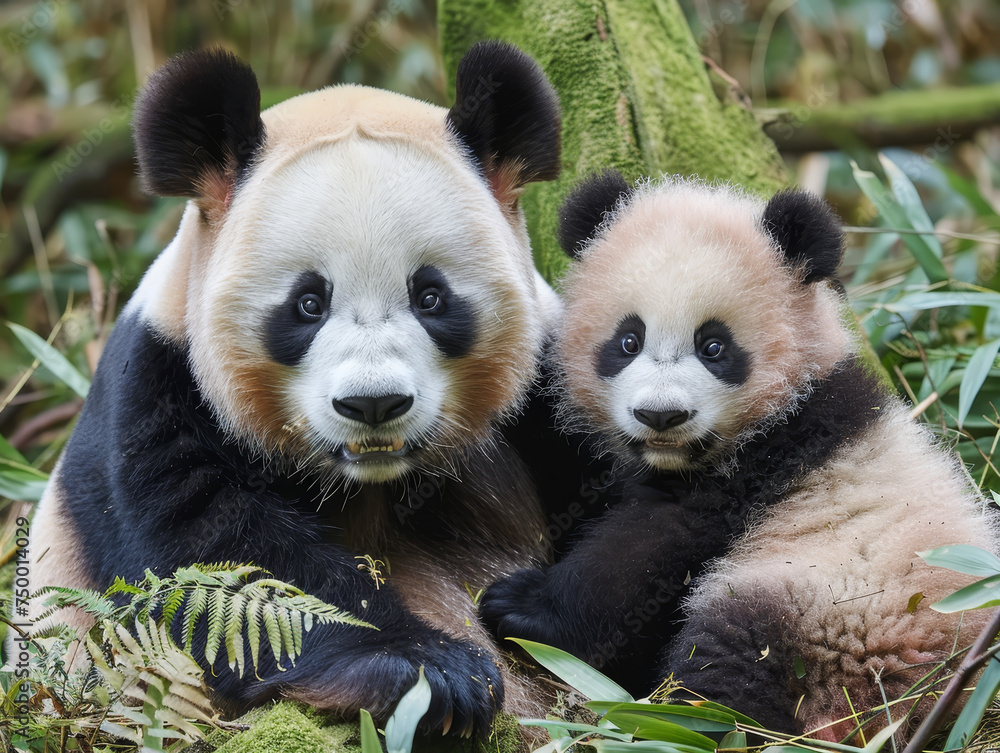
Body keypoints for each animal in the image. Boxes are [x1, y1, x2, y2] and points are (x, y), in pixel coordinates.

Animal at [28, 42, 563, 735]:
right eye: (308, 303)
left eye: (431, 296)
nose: (373, 405)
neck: (371, 482)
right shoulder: (159, 386)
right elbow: (224, 572)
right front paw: (430, 672)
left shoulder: (554, 376)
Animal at [480, 170, 999, 740]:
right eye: (628, 340)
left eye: (714, 347)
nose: (660, 416)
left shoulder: (772, 458)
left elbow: (645, 550)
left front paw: (522, 606)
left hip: (835, 617)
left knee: (733, 667)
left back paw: (680, 719)